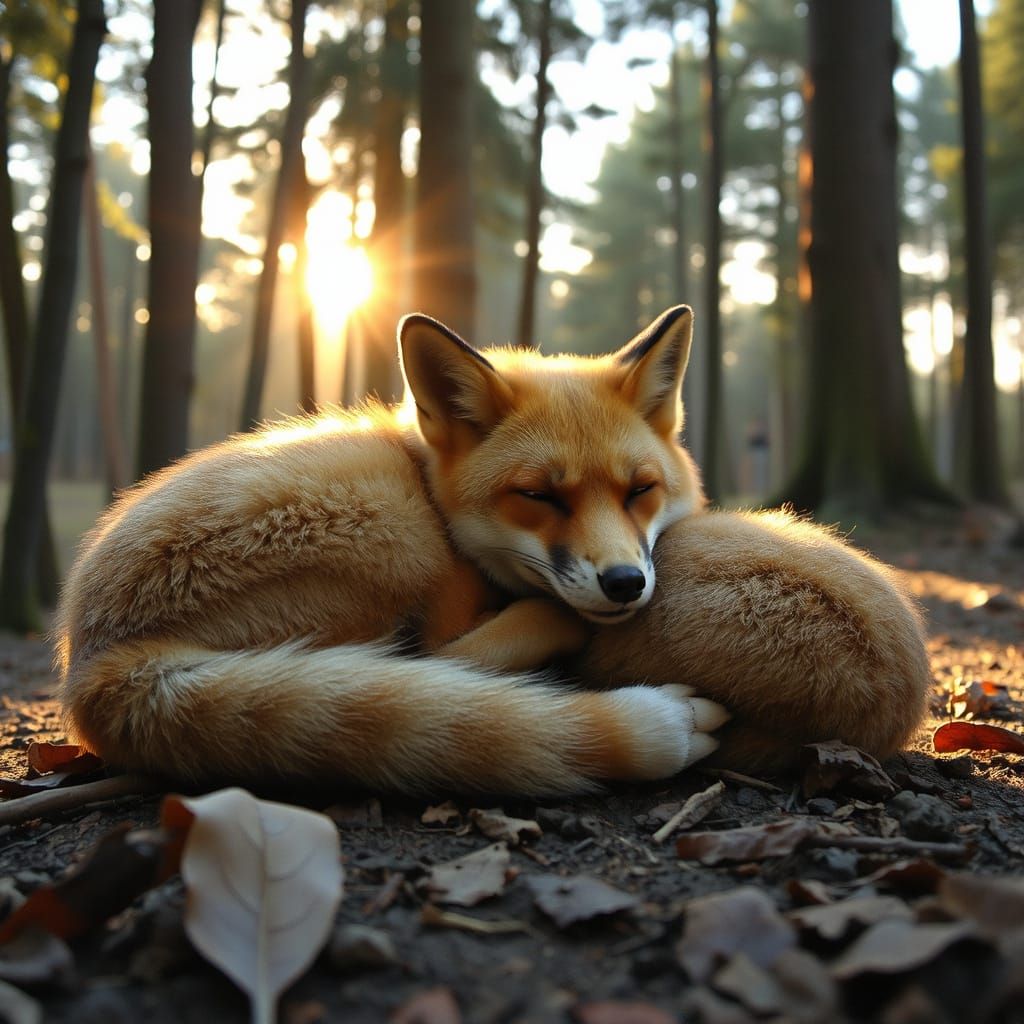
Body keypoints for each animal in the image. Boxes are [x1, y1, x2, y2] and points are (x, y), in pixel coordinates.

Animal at [55, 305, 931, 795]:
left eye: (640, 490)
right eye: (540, 496)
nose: (626, 584)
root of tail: (91, 659)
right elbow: (499, 636)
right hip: (396, 532)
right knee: (441, 666)